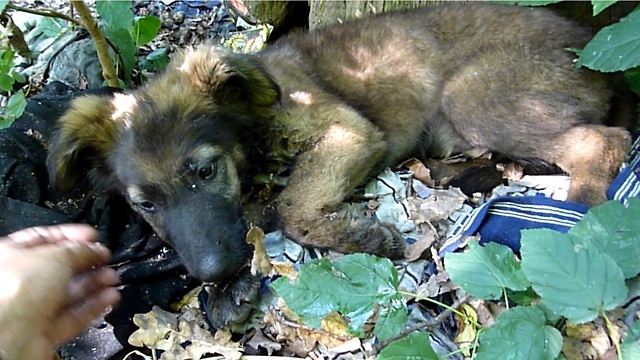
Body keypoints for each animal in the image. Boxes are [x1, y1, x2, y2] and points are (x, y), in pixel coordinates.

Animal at [48, 1, 632, 324]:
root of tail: (581, 41)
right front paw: (225, 290)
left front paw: (363, 237)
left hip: (475, 96)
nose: (212, 271)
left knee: (605, 140)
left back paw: (581, 225)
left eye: (206, 171)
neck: (250, 123)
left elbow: (290, 207)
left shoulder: (348, 131)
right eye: (146, 205)